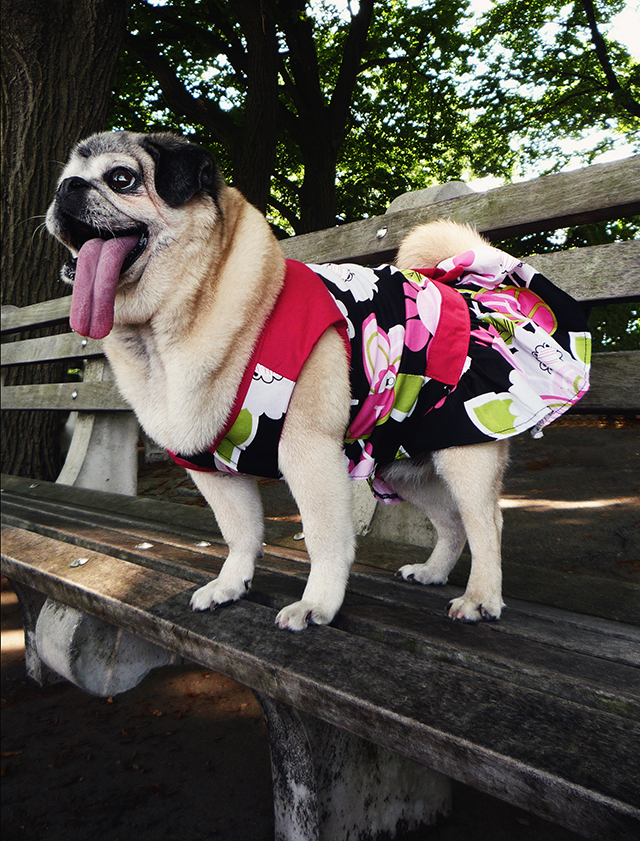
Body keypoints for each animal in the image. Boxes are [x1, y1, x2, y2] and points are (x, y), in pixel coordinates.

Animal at [46, 130, 592, 632]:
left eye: (122, 179)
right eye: (62, 181)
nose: (67, 188)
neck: (162, 335)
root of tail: (469, 295)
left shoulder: (309, 454)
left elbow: (326, 540)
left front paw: (317, 604)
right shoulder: (210, 469)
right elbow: (241, 535)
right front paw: (231, 584)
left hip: (463, 453)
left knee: (486, 524)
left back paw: (481, 597)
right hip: (403, 467)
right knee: (453, 523)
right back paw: (434, 571)